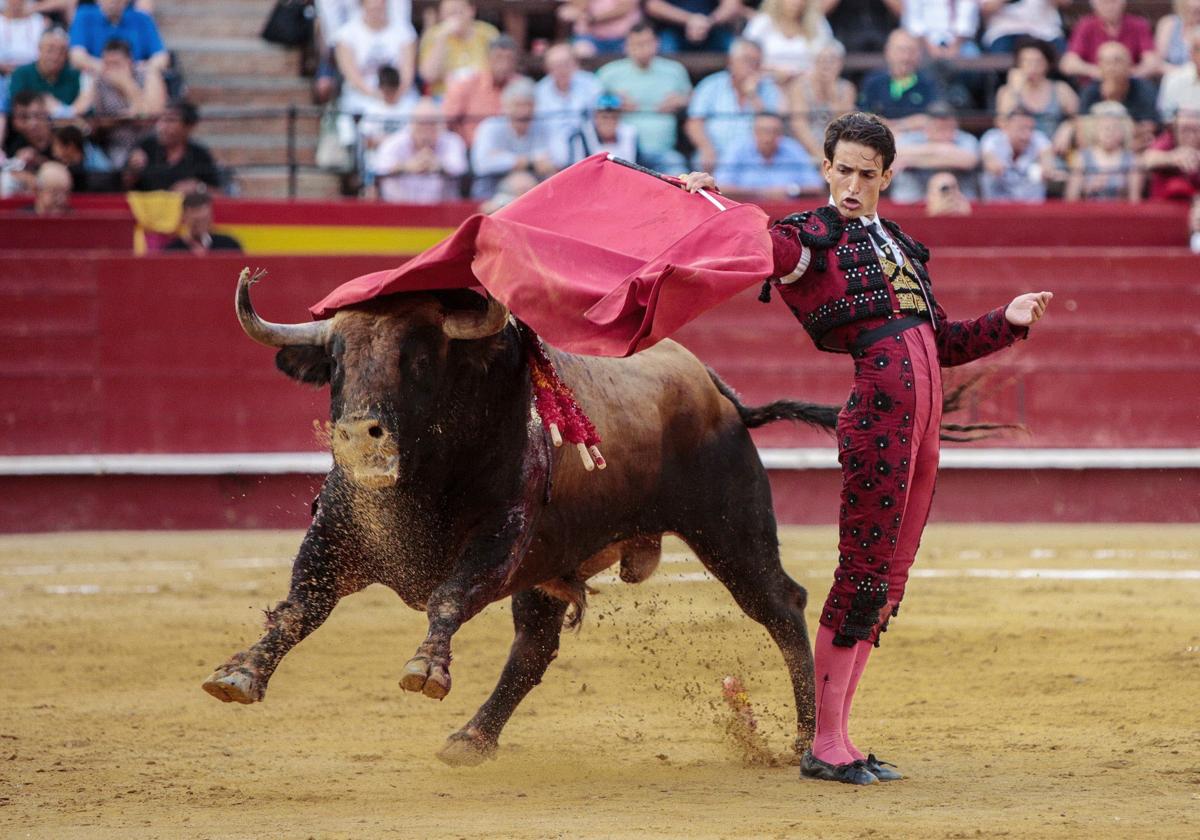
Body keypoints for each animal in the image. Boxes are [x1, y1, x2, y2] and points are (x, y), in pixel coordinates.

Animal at [201, 271, 835, 768]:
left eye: (420, 358)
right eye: (334, 363)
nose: (359, 436)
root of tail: (718, 391)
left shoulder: (499, 541)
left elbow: (449, 597)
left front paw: (426, 668)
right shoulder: (334, 537)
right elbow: (298, 608)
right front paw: (240, 674)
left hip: (730, 529)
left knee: (782, 606)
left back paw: (807, 742)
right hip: (554, 566)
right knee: (535, 648)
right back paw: (473, 737)